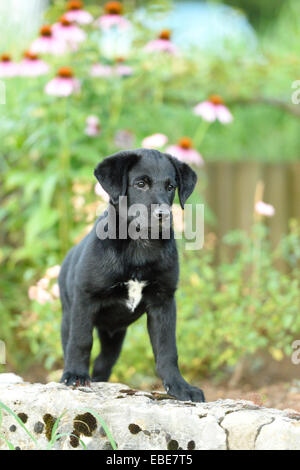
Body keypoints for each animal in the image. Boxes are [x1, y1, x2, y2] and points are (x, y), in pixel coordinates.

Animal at [58, 149, 204, 402]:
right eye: (141, 184)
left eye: (171, 186)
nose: (163, 215)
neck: (140, 245)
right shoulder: (85, 300)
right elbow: (81, 341)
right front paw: (75, 375)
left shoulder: (163, 302)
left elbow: (167, 350)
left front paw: (179, 386)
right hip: (68, 315)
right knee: (72, 344)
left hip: (114, 336)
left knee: (103, 362)